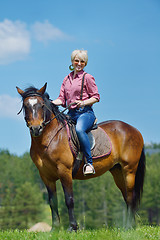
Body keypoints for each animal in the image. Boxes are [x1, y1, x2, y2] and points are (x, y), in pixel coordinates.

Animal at [16, 83, 145, 231]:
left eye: (42, 105)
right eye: (26, 106)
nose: (36, 129)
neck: (50, 139)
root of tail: (135, 130)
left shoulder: (64, 171)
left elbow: (69, 199)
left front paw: (73, 227)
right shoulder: (45, 176)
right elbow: (53, 202)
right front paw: (55, 229)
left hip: (129, 170)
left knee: (130, 196)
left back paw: (129, 226)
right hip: (117, 171)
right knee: (127, 197)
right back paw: (129, 226)